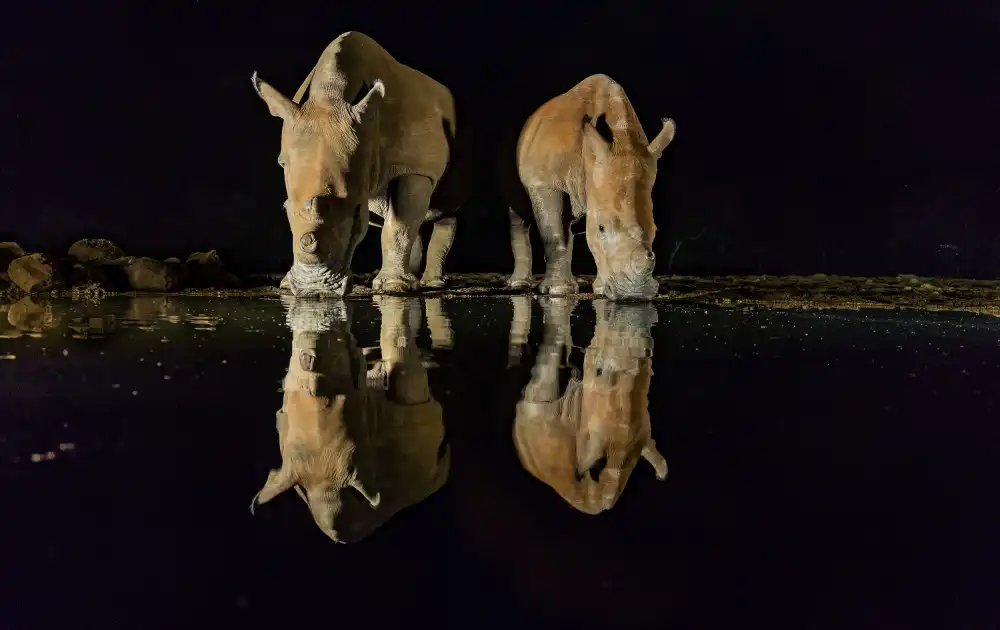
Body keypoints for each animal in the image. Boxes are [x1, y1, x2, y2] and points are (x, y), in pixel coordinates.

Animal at [251, 31, 472, 296]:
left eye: (356, 212)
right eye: (285, 211)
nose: (314, 291)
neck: (331, 96)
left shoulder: (414, 168)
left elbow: (399, 225)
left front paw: (394, 287)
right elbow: (403, 221)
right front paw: (285, 286)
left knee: (445, 209)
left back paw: (430, 283)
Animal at [502, 74, 676, 300]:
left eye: (655, 230)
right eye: (602, 228)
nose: (634, 295)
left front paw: (600, 289)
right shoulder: (545, 183)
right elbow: (555, 234)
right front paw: (559, 291)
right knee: (520, 212)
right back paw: (519, 285)